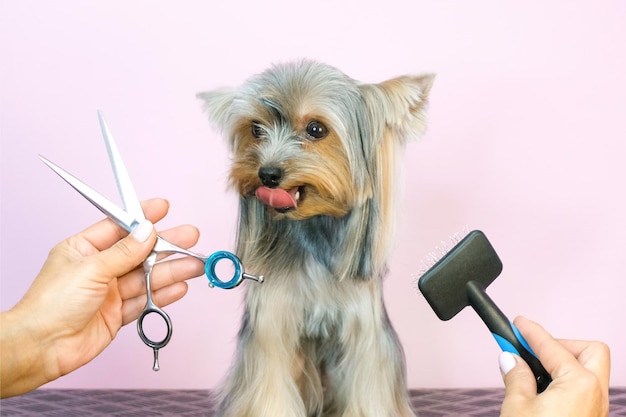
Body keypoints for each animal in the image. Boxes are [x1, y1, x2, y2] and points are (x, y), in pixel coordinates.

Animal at [197, 61, 432, 416]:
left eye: (316, 129)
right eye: (256, 129)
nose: (267, 174)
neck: (312, 229)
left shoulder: (364, 332)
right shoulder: (272, 323)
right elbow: (270, 387)